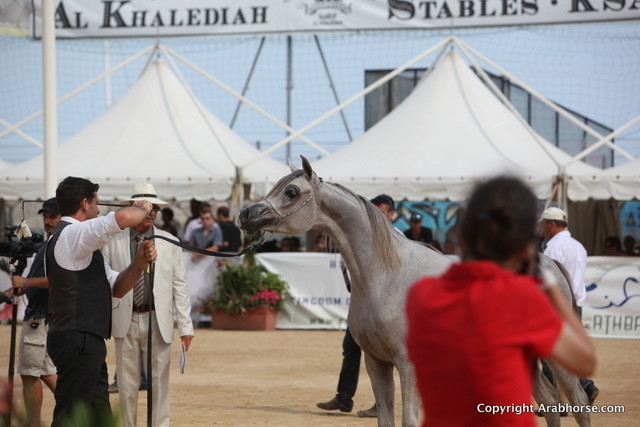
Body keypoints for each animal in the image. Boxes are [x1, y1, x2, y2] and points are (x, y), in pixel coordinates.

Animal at [238, 156, 590, 427]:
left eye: (292, 191)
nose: (245, 215)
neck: (385, 274)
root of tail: (551, 265)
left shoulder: (408, 363)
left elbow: (409, 419)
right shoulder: (376, 362)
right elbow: (385, 419)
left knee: (578, 402)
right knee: (549, 403)